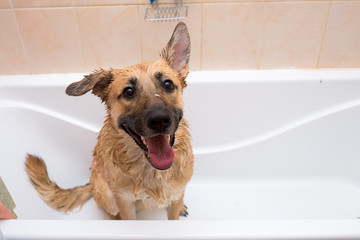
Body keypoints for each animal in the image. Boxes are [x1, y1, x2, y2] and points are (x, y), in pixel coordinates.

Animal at [24, 21, 194, 220]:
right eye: (128, 91)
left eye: (167, 84)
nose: (159, 120)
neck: (150, 171)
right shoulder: (125, 202)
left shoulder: (176, 195)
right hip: (108, 196)